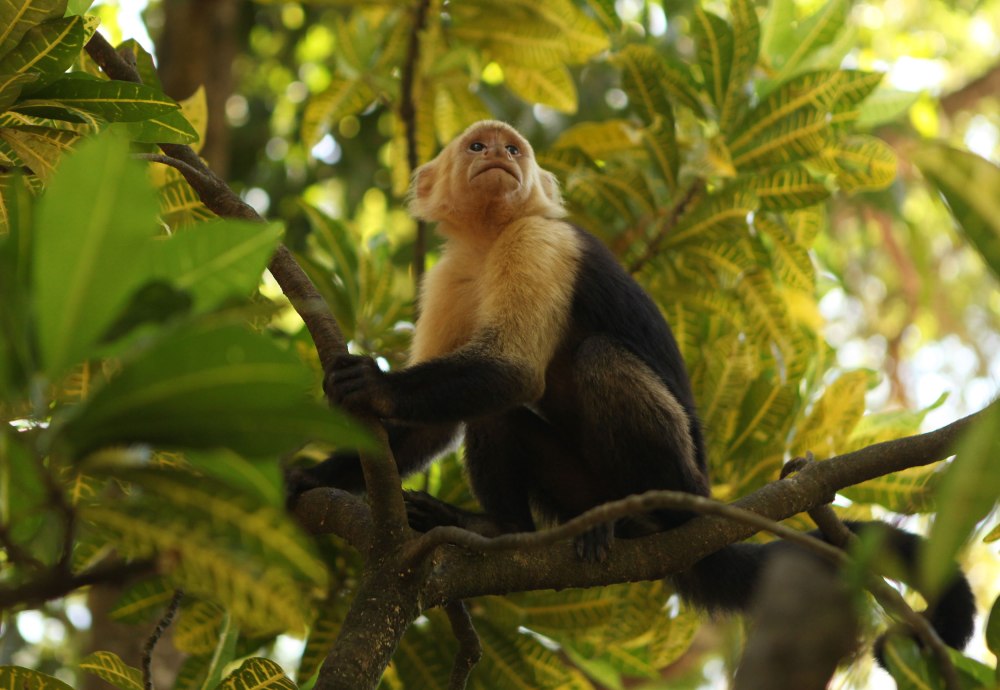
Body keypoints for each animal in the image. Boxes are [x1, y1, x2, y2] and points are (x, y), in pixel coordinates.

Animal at [290, 120, 975, 654]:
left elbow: (512, 373)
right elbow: (435, 423)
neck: (490, 239)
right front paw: (318, 473)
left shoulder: (541, 243)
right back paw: (495, 528)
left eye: (513, 150)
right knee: (501, 418)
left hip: (682, 482)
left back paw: (607, 521)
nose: (499, 158)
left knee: (594, 364)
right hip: (576, 493)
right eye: (478, 146)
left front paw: (370, 382)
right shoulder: (449, 274)